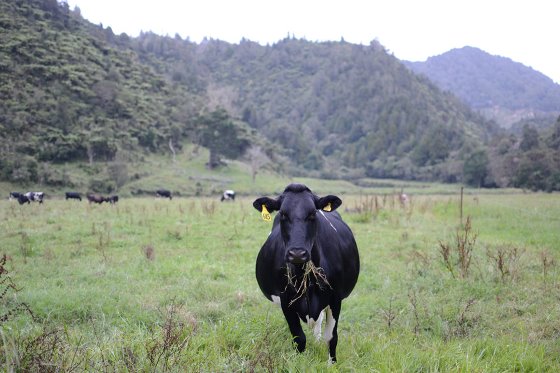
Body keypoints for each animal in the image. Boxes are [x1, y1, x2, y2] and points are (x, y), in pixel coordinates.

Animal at [253, 184, 358, 364]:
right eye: (283, 214)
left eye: (312, 213)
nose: (297, 253)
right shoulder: (286, 301)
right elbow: (299, 338)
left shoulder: (336, 298)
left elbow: (331, 337)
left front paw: (332, 364)